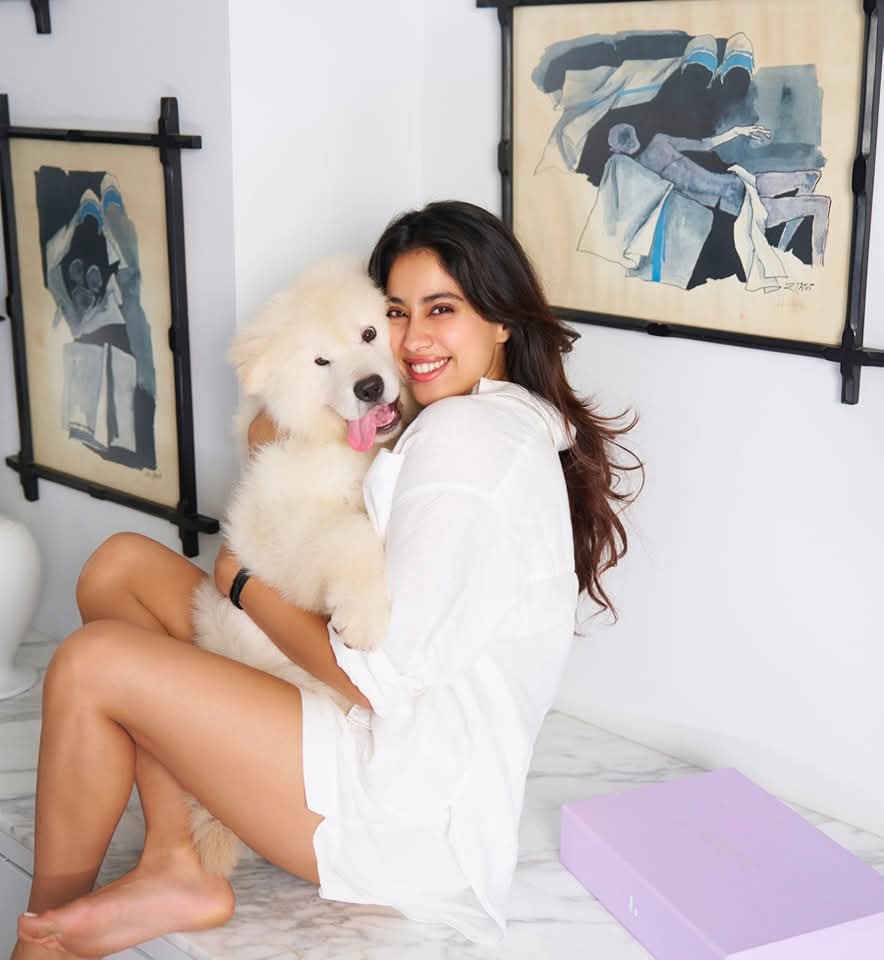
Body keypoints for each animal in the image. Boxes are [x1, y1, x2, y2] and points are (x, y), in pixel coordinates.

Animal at [188, 256, 412, 876]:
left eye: (371, 332)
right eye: (321, 362)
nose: (369, 387)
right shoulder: (286, 532)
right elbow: (352, 534)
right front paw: (362, 620)